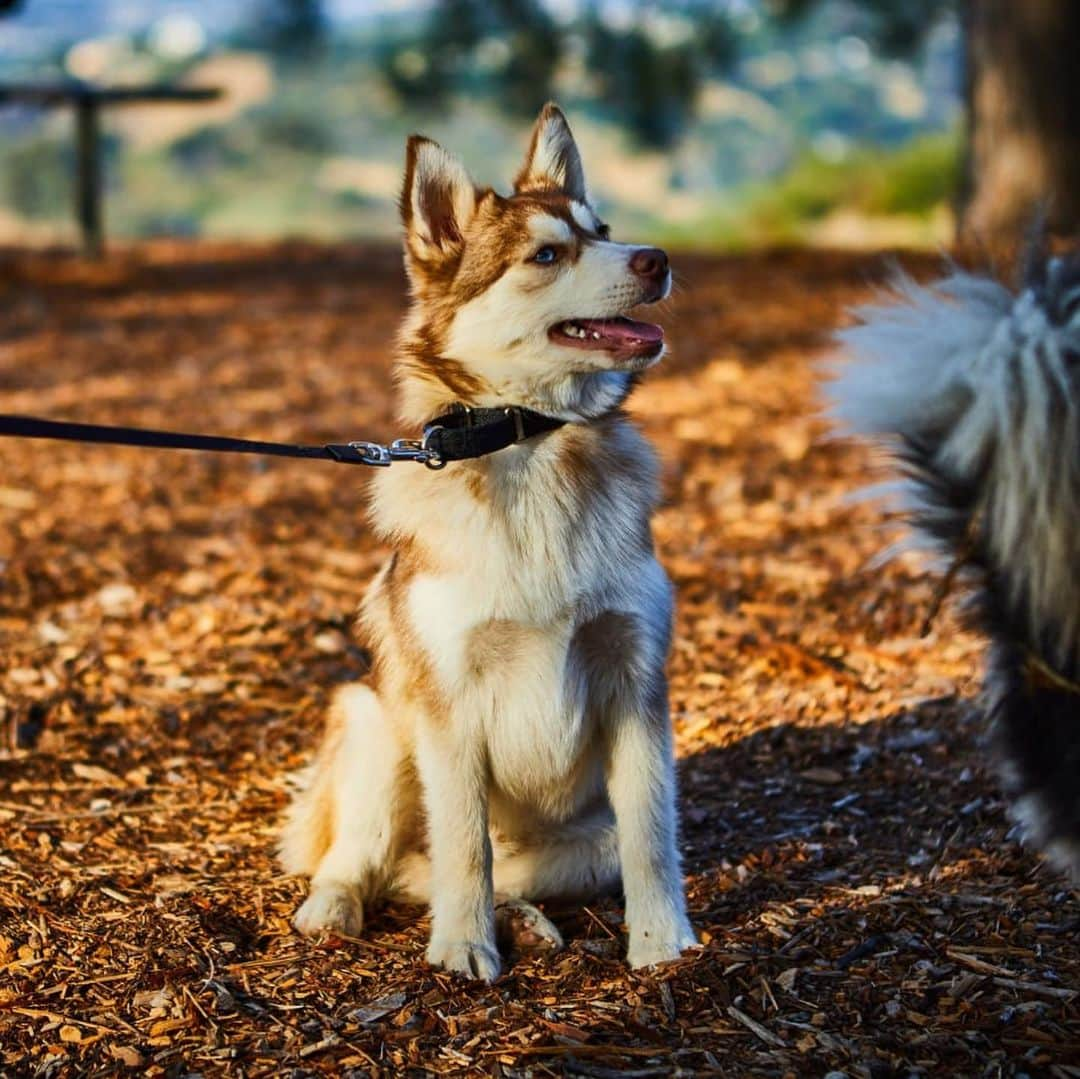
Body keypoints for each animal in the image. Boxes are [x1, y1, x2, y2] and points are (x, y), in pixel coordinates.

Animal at [282, 105, 695, 985]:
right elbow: (464, 845)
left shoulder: (636, 679)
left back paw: (531, 921)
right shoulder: (447, 703)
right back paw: (335, 907)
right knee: (374, 858)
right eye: (546, 254)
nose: (659, 258)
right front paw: (463, 947)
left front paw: (661, 940)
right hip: (374, 716)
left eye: (602, 231)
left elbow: (652, 832)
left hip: (580, 839)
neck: (531, 442)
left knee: (464, 870)